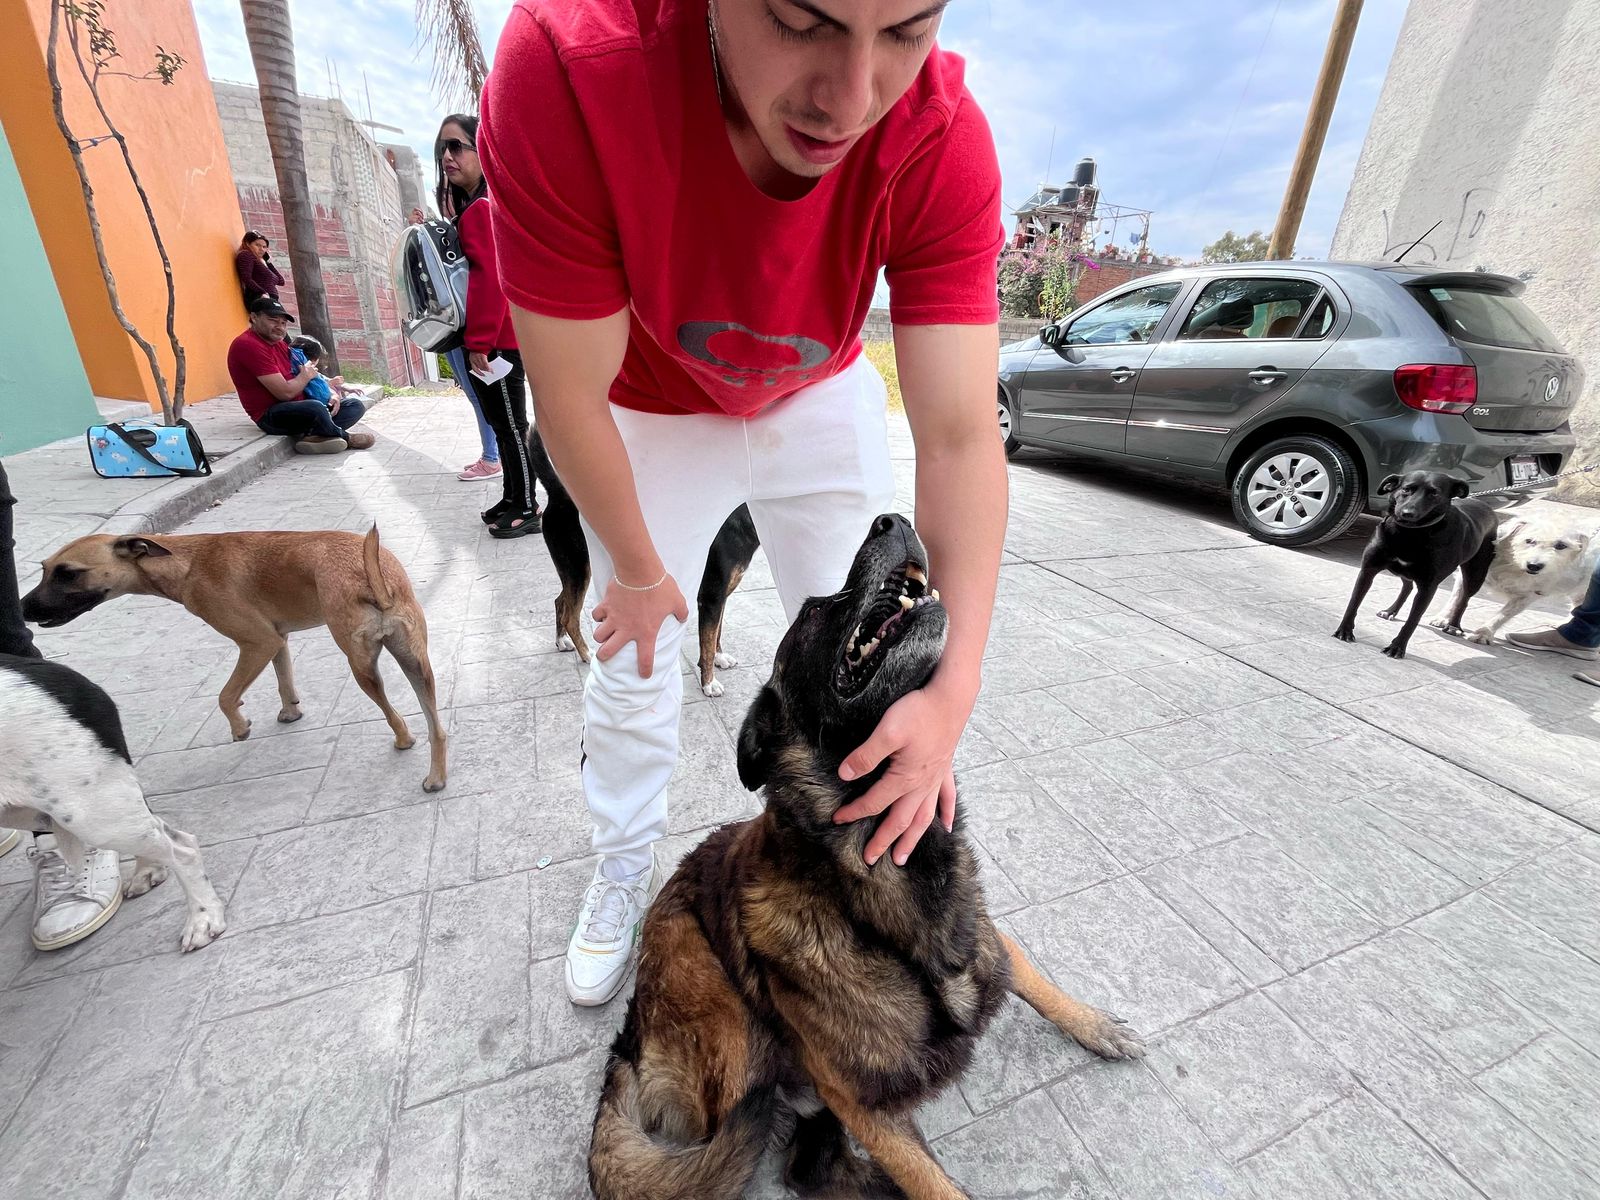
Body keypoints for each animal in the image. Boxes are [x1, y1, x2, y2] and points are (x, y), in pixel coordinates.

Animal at [25, 528, 448, 793]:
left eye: (68, 574)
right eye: (44, 569)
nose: (24, 608)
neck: (184, 562)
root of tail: (372, 575)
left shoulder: (257, 642)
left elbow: (225, 696)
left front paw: (240, 727)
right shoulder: (278, 638)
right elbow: (284, 678)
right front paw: (290, 711)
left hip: (362, 666)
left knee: (395, 715)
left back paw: (404, 741)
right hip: (415, 662)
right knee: (437, 729)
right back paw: (436, 775)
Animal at [528, 428, 758, 694]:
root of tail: (557, 490)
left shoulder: (721, 595)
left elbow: (717, 632)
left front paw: (719, 658)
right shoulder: (711, 596)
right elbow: (708, 640)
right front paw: (709, 682)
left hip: (571, 569)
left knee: (560, 601)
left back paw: (562, 640)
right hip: (578, 568)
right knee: (570, 616)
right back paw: (586, 653)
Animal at [595, 515, 1145, 1200]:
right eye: (815, 609)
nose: (892, 519)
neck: (875, 878)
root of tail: (629, 1040)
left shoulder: (985, 936)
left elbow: (1029, 971)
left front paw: (1094, 1024)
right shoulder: (861, 1103)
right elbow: (935, 1185)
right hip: (727, 1010)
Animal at [1324, 470, 1497, 659]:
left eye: (1434, 493)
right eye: (1406, 489)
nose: (1407, 513)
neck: (1409, 534)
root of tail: (1487, 506)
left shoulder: (1428, 588)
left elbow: (1412, 621)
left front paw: (1397, 647)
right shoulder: (1368, 570)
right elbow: (1353, 603)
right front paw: (1344, 630)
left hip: (1476, 574)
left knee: (1464, 598)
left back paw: (1453, 626)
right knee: (1407, 586)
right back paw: (1391, 611)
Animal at [1440, 518, 1600, 649]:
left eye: (1561, 545)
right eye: (1529, 540)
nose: (1534, 566)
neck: (1514, 566)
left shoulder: (1526, 596)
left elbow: (1503, 615)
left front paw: (1484, 633)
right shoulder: (1468, 575)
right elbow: (1457, 598)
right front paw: (1444, 618)